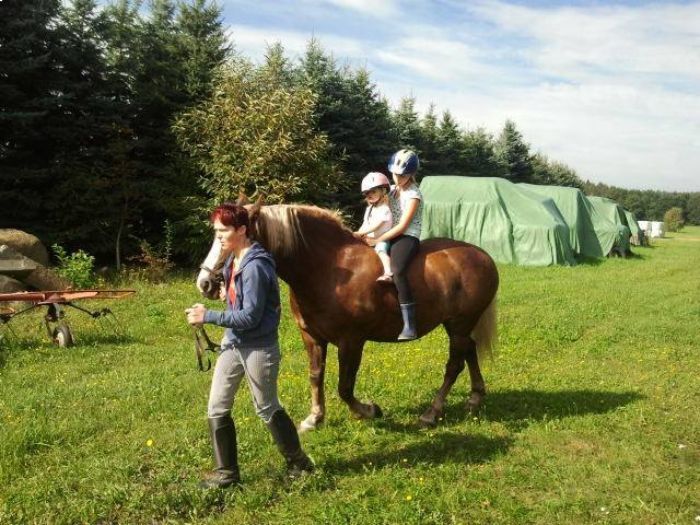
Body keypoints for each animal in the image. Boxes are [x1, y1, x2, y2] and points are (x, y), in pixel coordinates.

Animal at [197, 197, 499, 432]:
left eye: (225, 237)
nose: (205, 283)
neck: (328, 269)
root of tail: (483, 255)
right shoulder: (312, 337)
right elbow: (315, 376)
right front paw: (315, 418)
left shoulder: (351, 341)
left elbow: (344, 386)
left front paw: (368, 410)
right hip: (458, 325)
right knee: (470, 351)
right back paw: (475, 397)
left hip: (460, 324)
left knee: (454, 365)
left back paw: (432, 413)